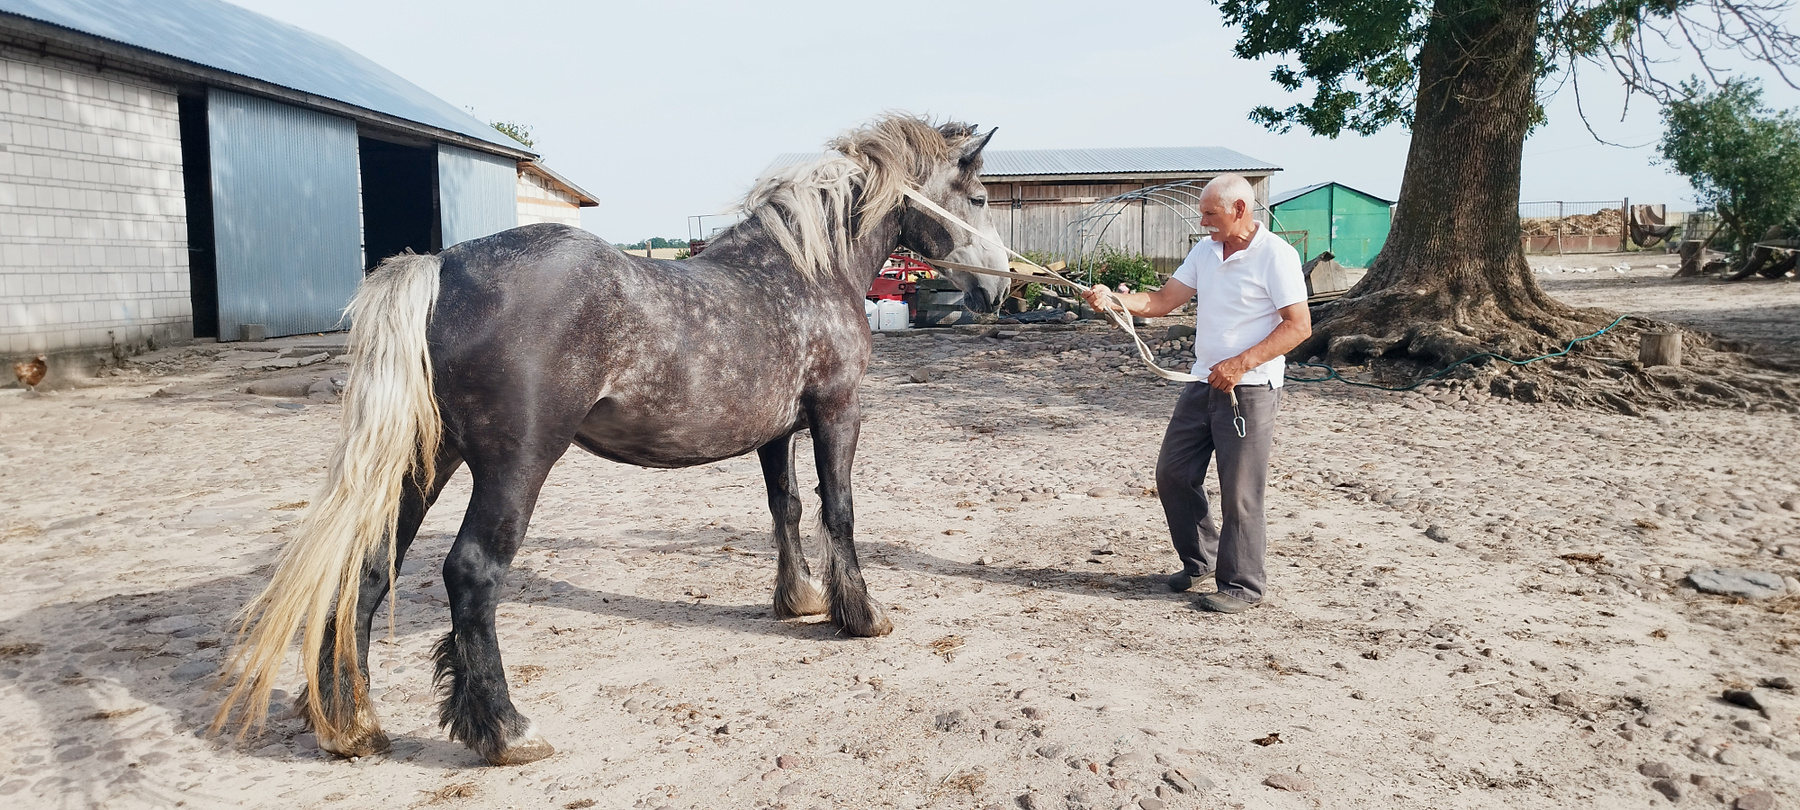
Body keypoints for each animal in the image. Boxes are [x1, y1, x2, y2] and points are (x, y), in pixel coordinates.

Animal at [212, 115, 1011, 766]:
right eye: (977, 197)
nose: (998, 290)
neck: (803, 271)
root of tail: (442, 267)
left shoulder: (775, 431)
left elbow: (784, 509)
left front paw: (799, 600)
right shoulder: (837, 412)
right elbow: (837, 510)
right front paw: (861, 615)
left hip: (424, 461)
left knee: (370, 568)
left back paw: (352, 724)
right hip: (515, 465)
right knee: (470, 572)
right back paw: (506, 731)